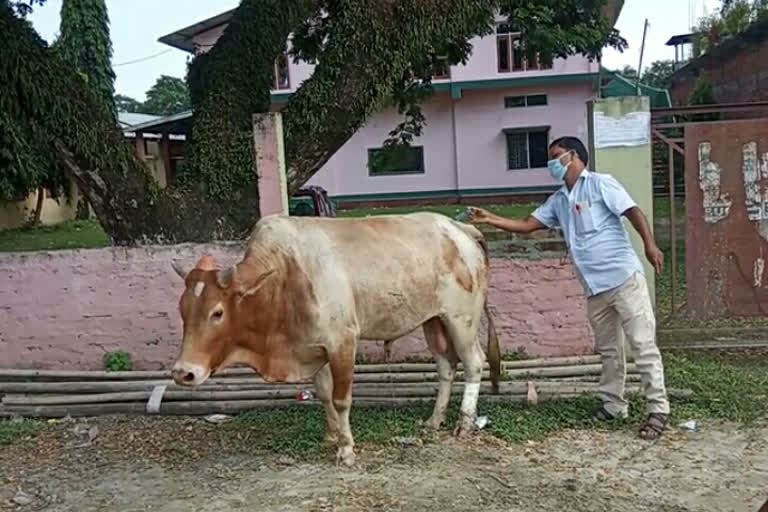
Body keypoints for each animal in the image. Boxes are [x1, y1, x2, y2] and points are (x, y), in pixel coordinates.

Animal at [170, 210, 498, 466]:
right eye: (183, 309)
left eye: (217, 312)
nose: (183, 373)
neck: (284, 276)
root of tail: (458, 229)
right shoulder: (316, 347)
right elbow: (324, 392)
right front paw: (332, 435)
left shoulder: (342, 342)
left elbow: (341, 399)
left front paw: (347, 448)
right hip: (434, 321)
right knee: (446, 366)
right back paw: (434, 420)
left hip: (461, 320)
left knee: (473, 362)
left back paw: (464, 423)